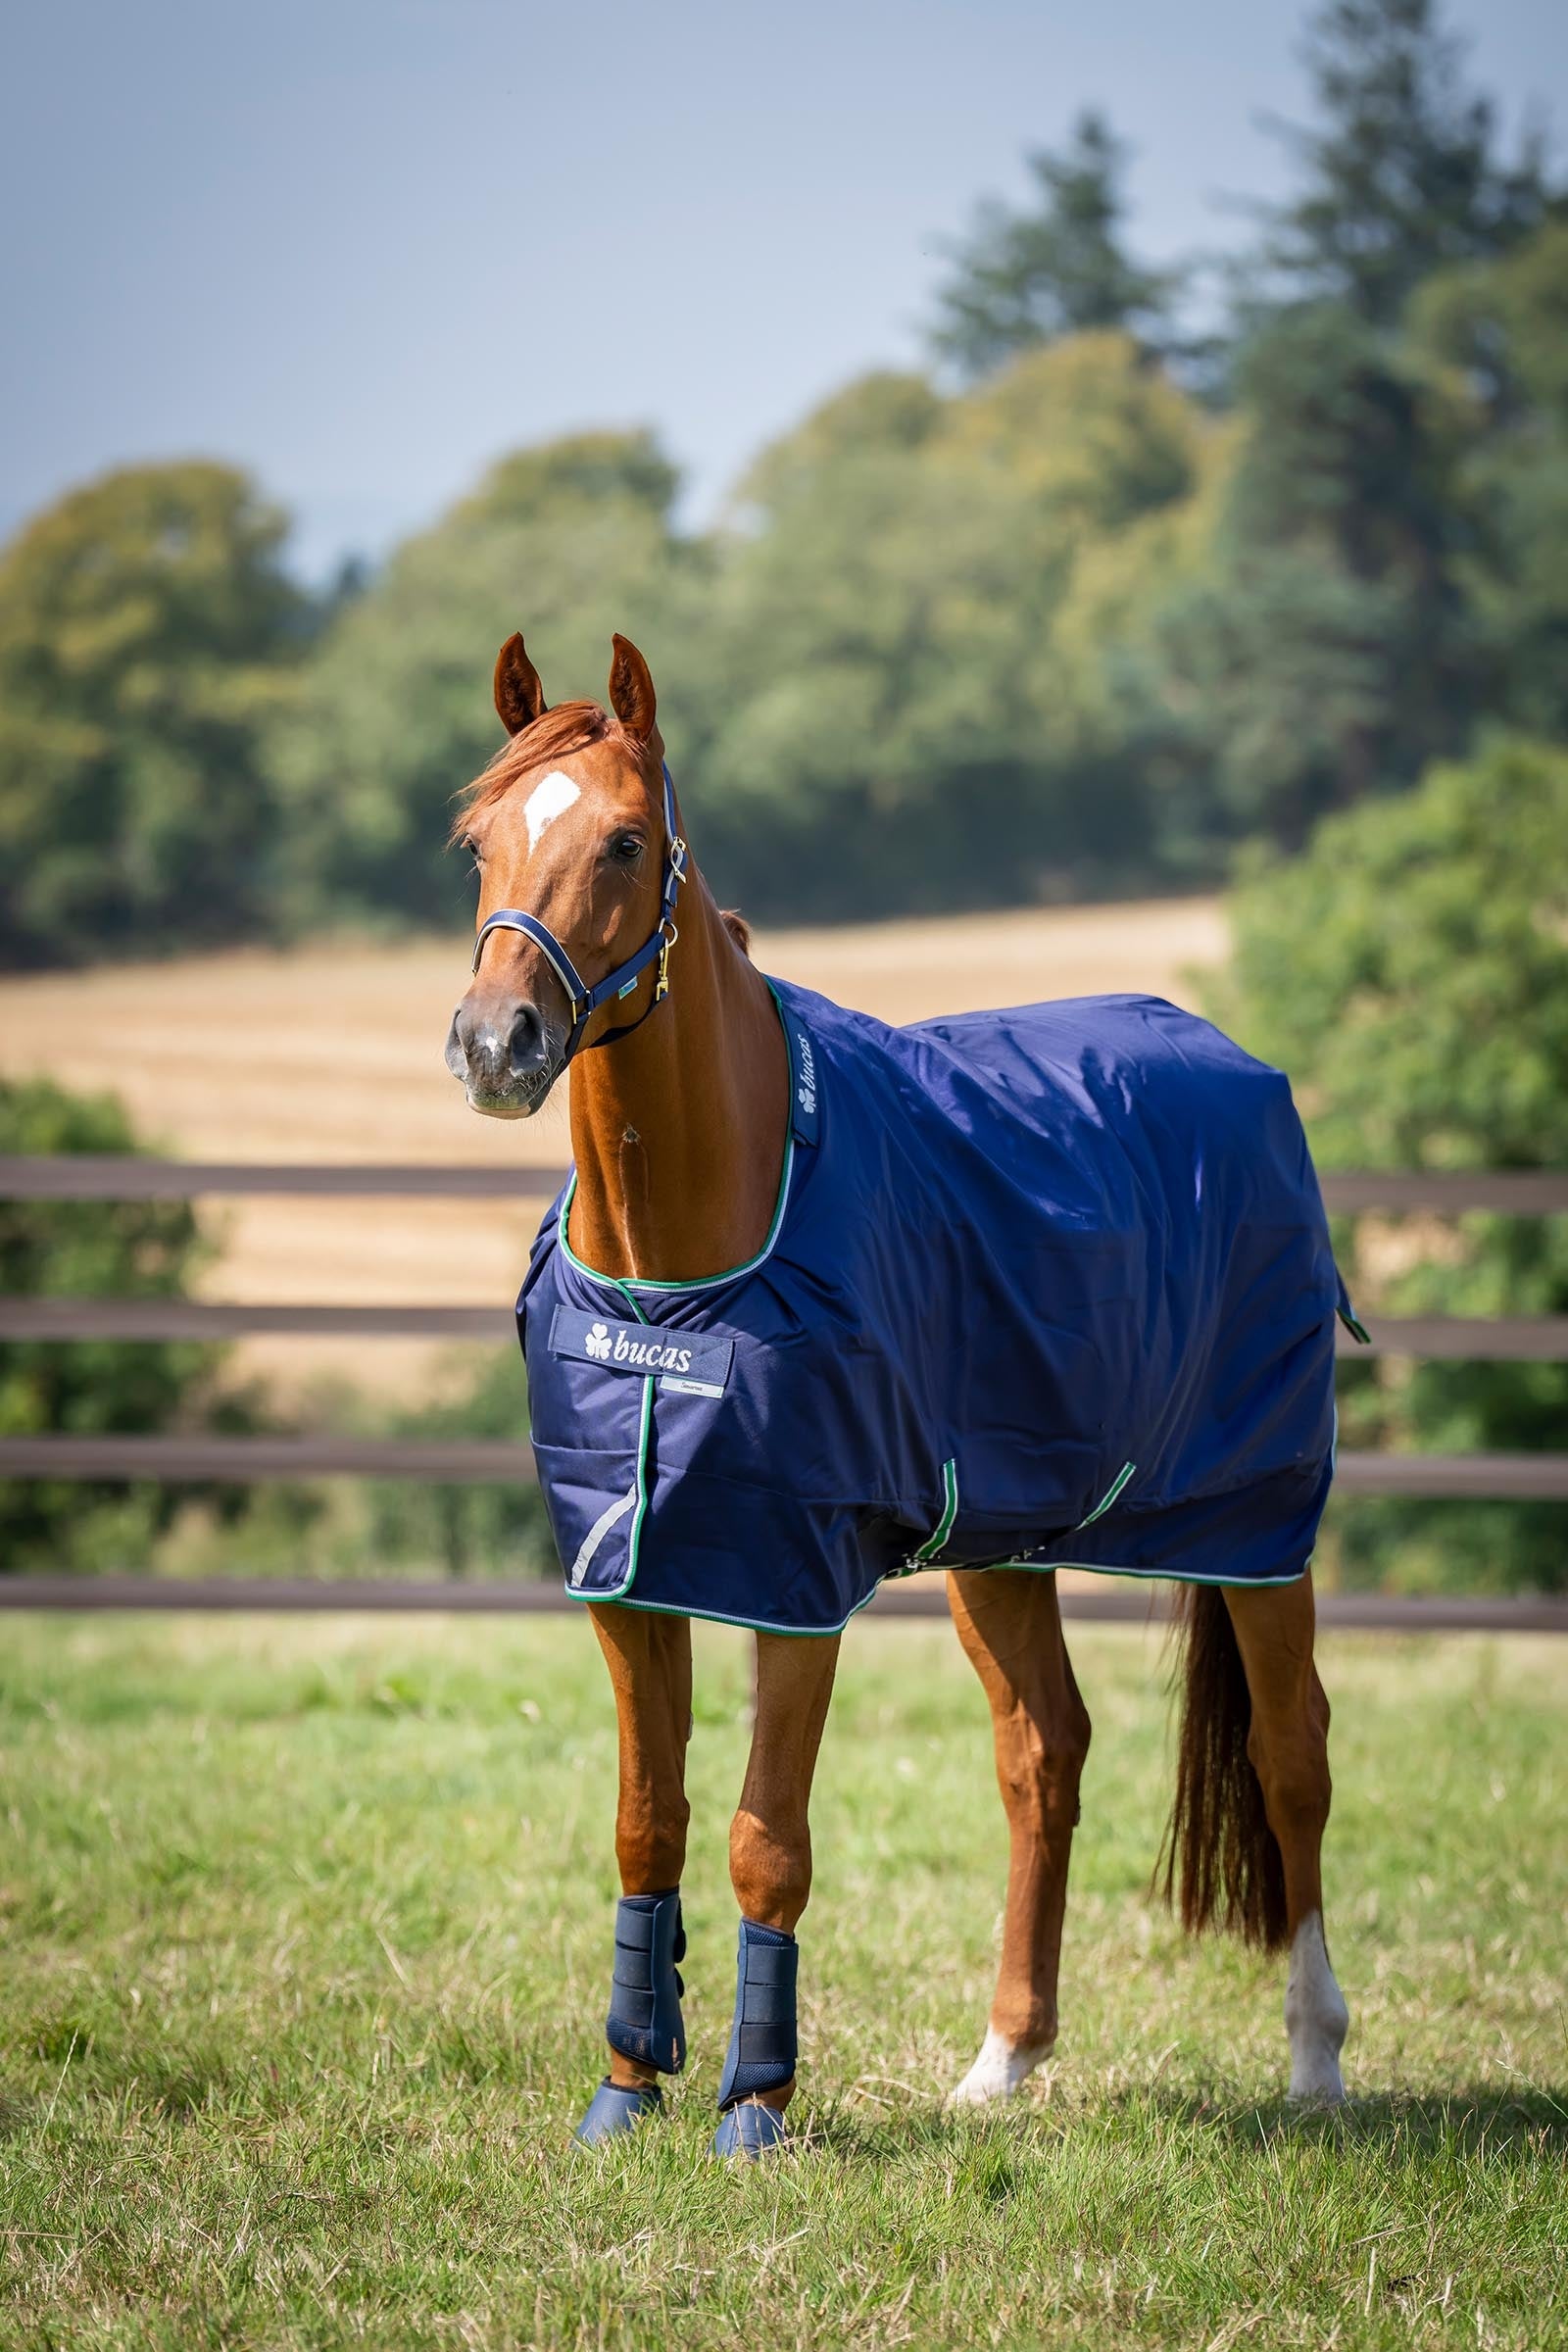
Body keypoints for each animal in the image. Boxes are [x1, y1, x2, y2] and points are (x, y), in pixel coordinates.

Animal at [444, 628, 1352, 2158]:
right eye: (477, 842)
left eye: (624, 839)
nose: (496, 1041)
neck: (682, 1280)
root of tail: (1238, 1064)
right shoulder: (629, 1575)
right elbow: (647, 1824)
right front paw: (626, 2088)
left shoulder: (793, 1583)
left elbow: (764, 1840)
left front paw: (754, 2109)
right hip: (1002, 1544)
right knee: (1044, 1755)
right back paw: (1004, 2061)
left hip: (1255, 1524)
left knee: (1293, 1760)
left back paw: (1319, 2059)